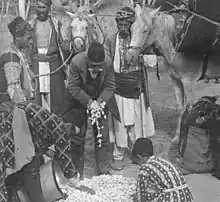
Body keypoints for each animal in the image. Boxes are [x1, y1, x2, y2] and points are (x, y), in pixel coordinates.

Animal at [125, 4, 220, 144]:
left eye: (145, 30)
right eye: (132, 27)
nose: (129, 56)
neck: (176, 45)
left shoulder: (188, 82)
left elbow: (188, 111)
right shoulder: (175, 80)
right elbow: (180, 109)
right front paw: (176, 138)